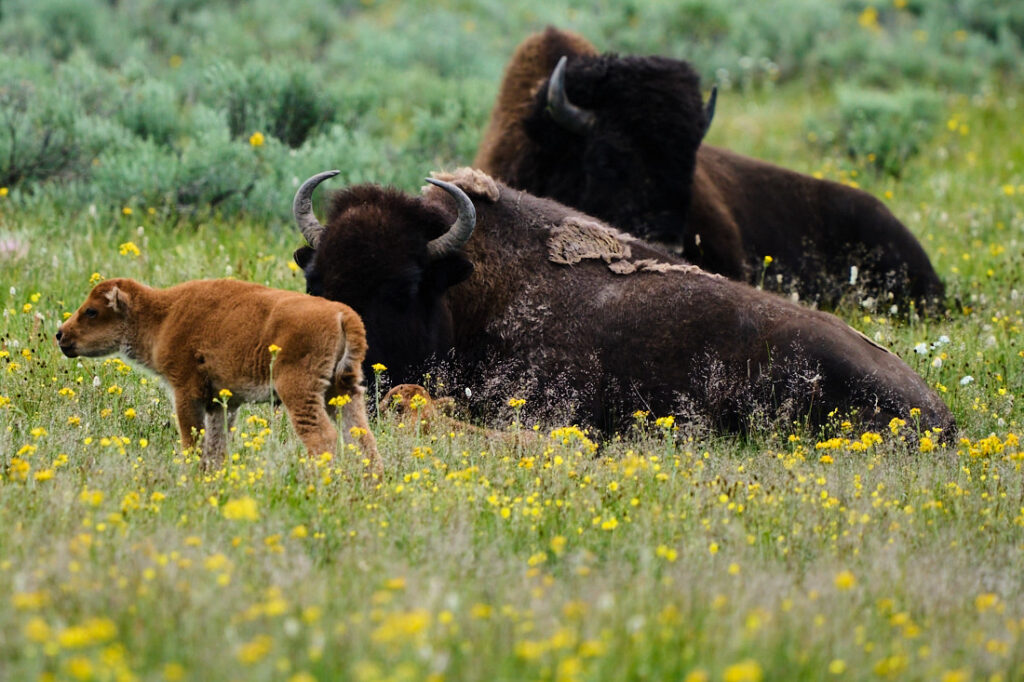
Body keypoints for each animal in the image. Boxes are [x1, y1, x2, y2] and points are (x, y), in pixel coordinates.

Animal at [56, 278, 382, 472]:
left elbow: (193, 440)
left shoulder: (186, 392)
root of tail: (344, 315)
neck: (163, 315)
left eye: (92, 311)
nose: (60, 334)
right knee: (362, 439)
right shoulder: (222, 403)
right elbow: (217, 445)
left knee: (323, 438)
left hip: (300, 390)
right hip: (343, 391)